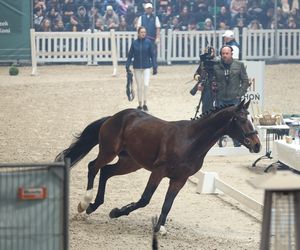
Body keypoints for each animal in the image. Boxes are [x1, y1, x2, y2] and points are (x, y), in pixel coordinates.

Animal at [55, 99, 260, 234]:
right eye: (242, 119)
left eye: (252, 119)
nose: (257, 145)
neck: (191, 141)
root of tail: (114, 117)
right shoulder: (158, 172)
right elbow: (145, 199)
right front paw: (117, 212)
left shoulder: (179, 179)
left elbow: (167, 204)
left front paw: (159, 227)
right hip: (108, 152)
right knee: (93, 167)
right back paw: (84, 203)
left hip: (130, 163)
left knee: (105, 172)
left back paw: (93, 206)